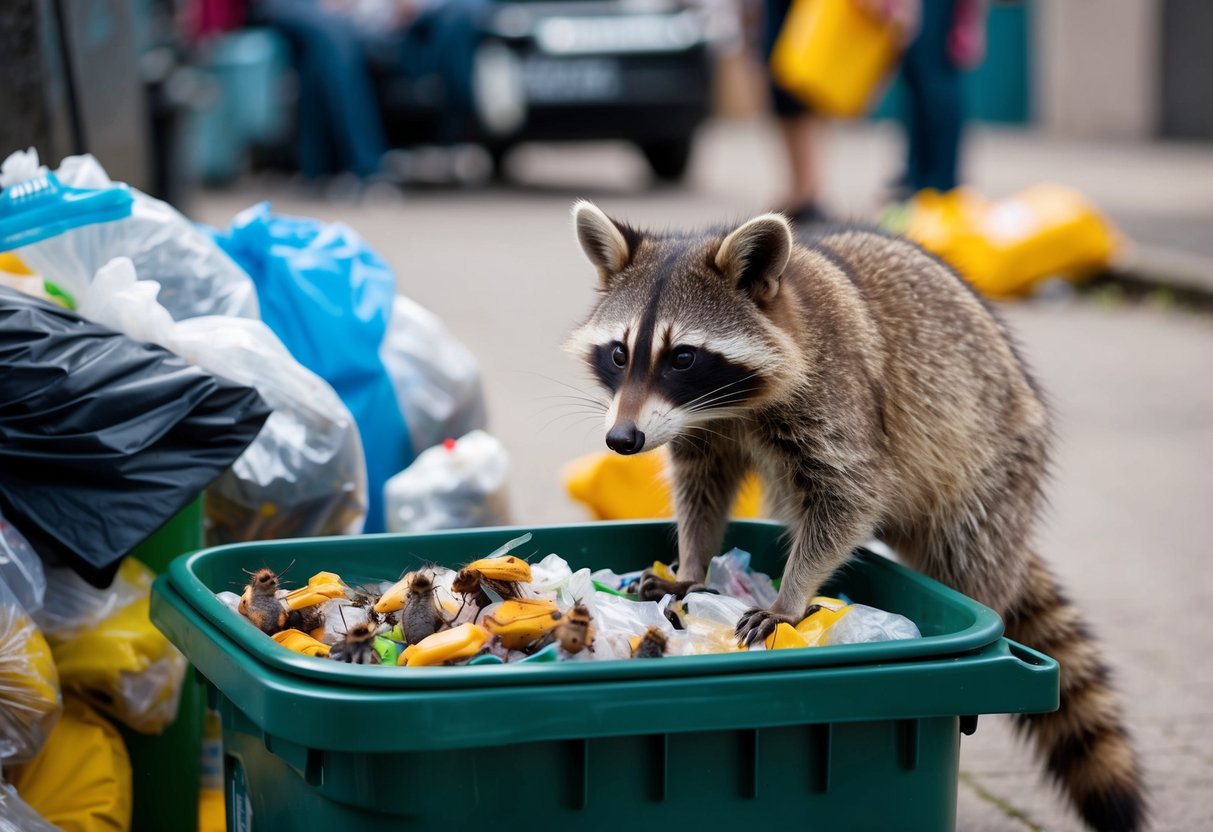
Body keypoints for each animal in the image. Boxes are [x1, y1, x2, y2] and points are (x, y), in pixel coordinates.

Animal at [565, 201, 1146, 832]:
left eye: (683, 357)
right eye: (619, 353)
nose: (622, 440)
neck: (732, 405)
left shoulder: (837, 395)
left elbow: (850, 495)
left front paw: (789, 598)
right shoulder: (701, 430)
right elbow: (702, 487)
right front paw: (693, 564)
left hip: (993, 467)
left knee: (968, 550)